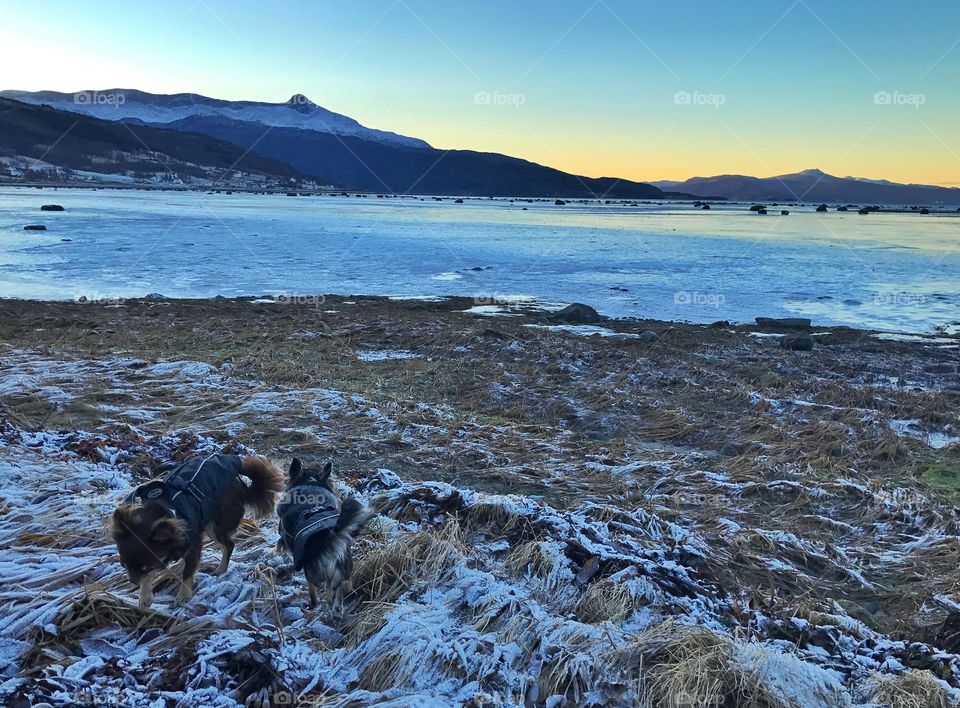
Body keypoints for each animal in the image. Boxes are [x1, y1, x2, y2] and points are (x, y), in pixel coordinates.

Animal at [112, 454, 284, 608]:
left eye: (148, 567)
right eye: (124, 565)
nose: (132, 581)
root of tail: (241, 486)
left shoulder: (194, 548)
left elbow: (187, 574)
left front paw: (182, 596)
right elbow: (148, 579)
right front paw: (144, 596)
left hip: (215, 527)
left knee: (229, 545)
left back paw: (221, 569)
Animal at [276, 456, 374, 612]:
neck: (310, 484)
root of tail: (329, 537)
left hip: (310, 569)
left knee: (314, 589)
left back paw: (313, 605)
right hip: (344, 566)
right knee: (341, 589)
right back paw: (337, 610)